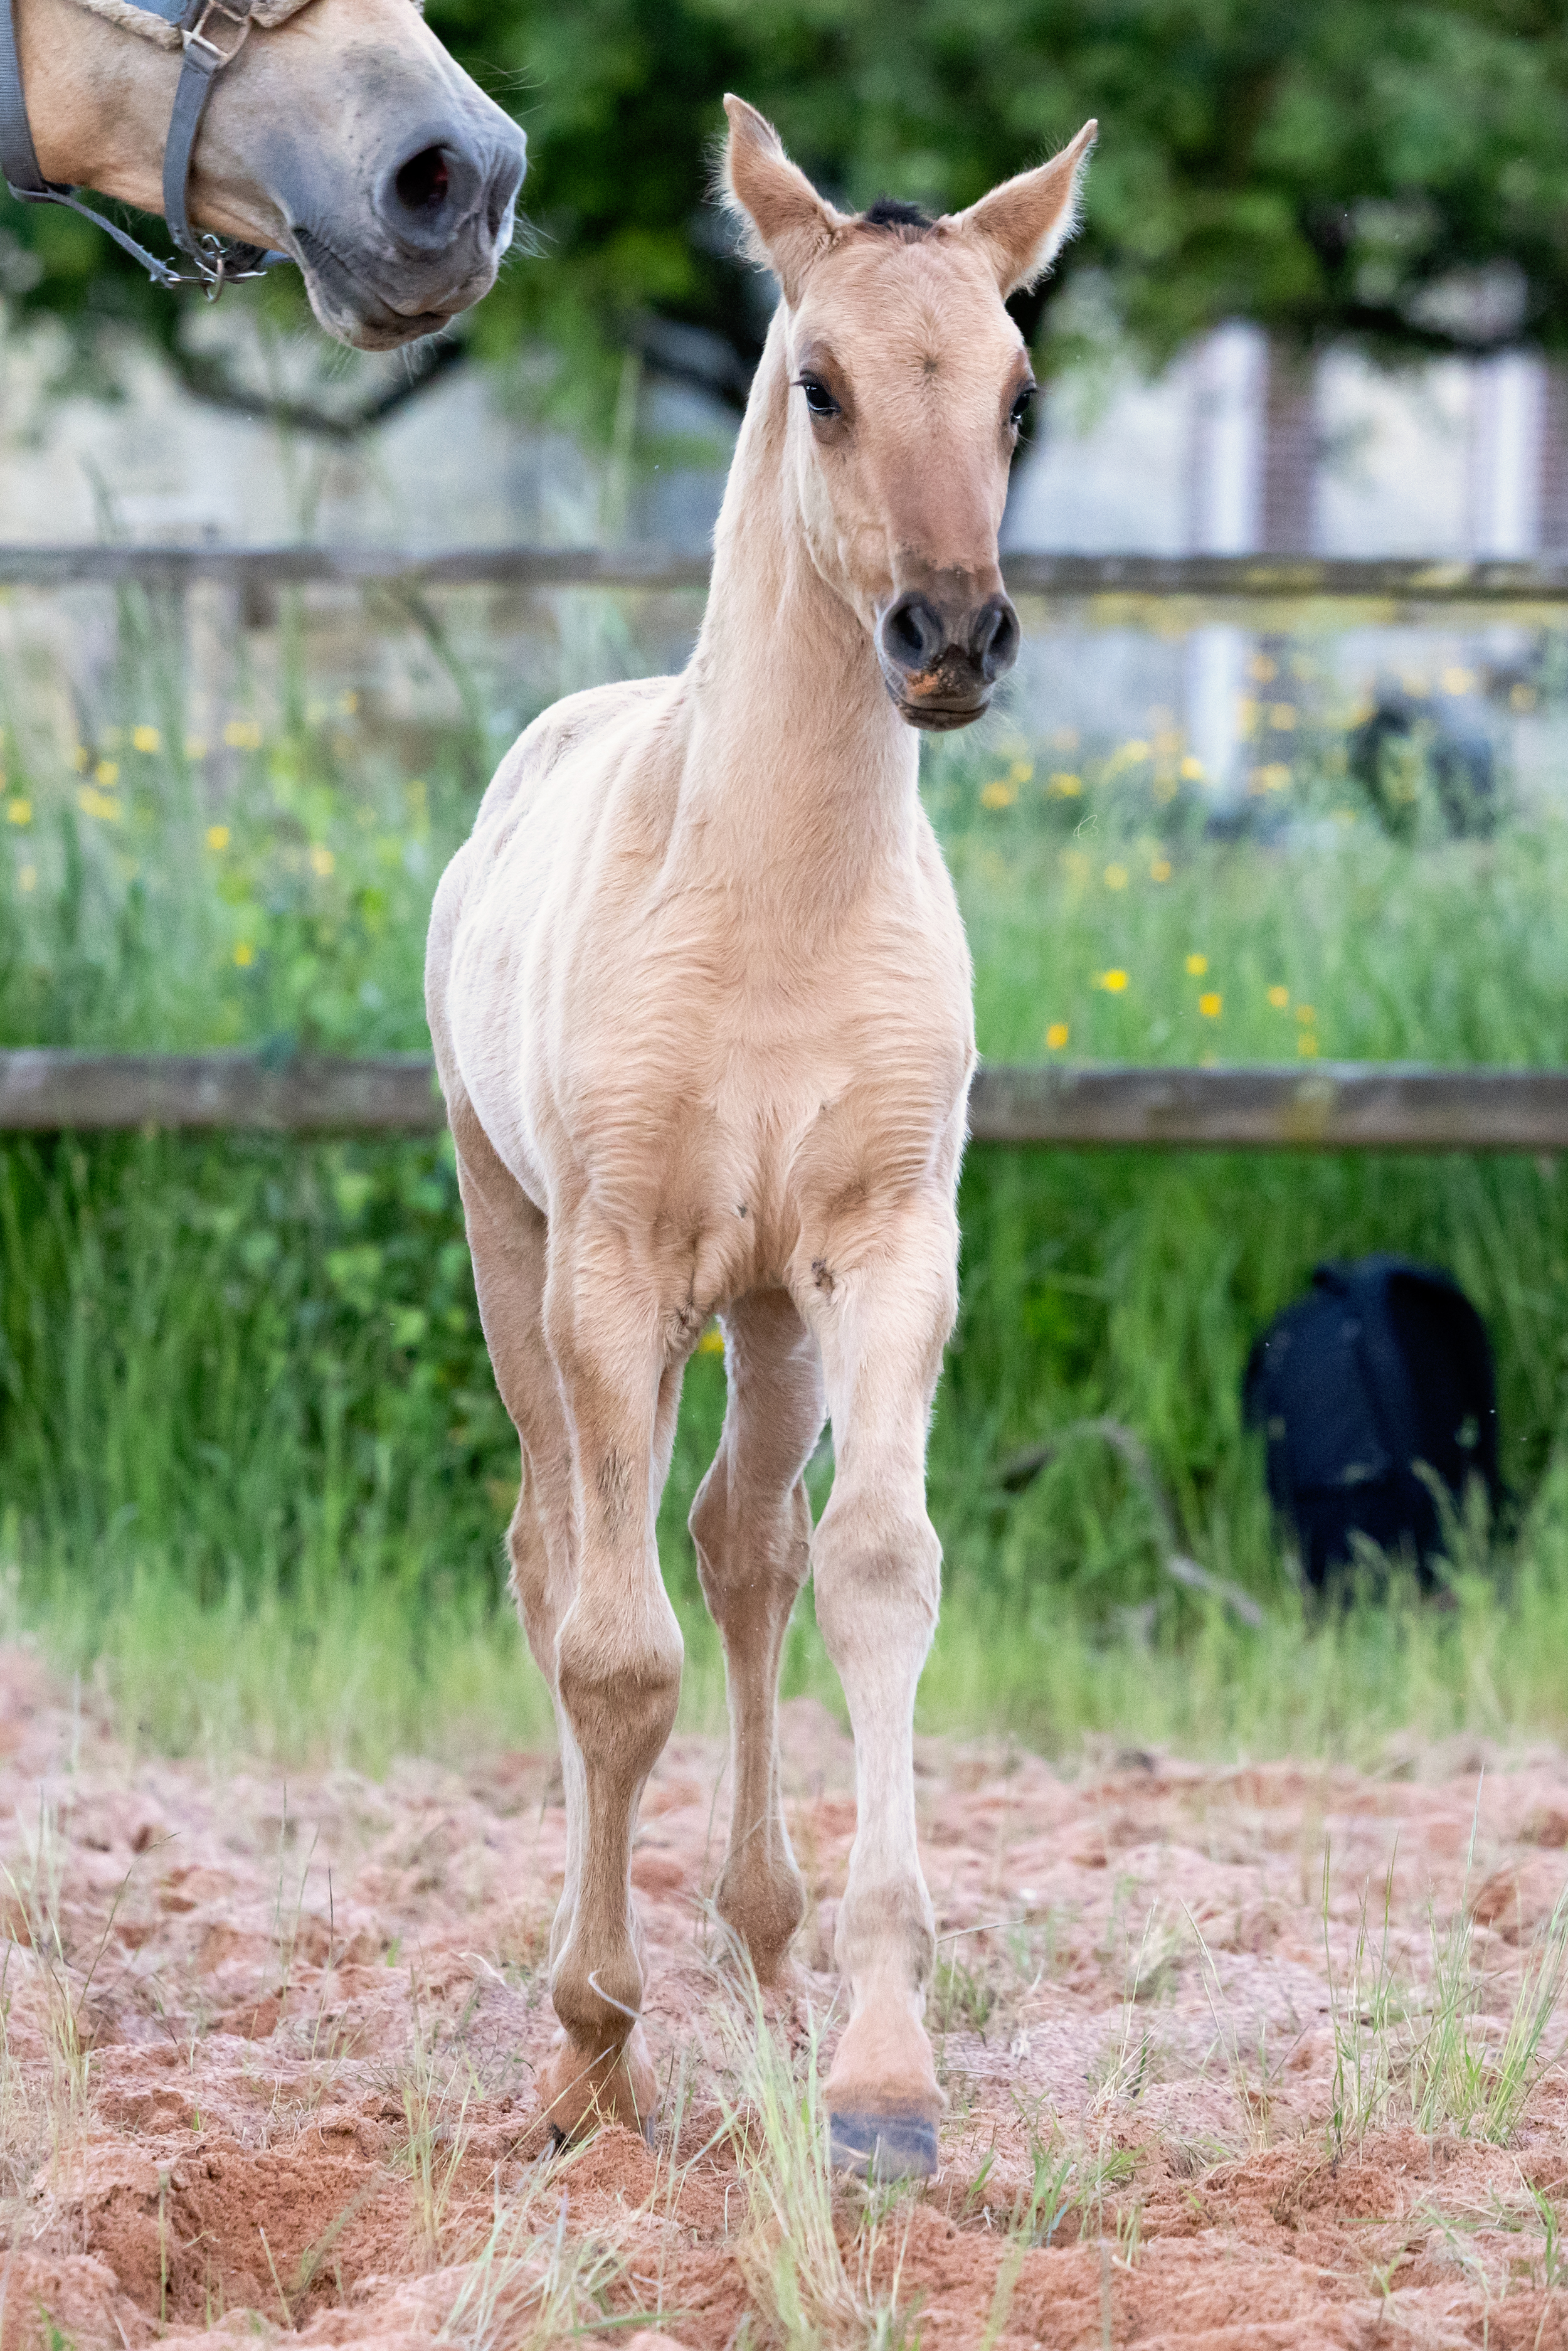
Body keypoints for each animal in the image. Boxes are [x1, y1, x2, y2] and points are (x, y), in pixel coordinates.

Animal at [423, 101, 1100, 2172]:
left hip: (774, 1314)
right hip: (514, 1247)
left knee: (743, 1550)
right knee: (563, 1551)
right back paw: (594, 2014)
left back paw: (770, 1955)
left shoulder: (884, 1253)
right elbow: (609, 1648)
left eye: (1016, 393)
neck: (775, 898)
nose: (949, 633)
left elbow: (873, 1566)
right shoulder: (612, 1270)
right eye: (819, 383)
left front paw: (882, 2075)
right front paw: (595, 2040)